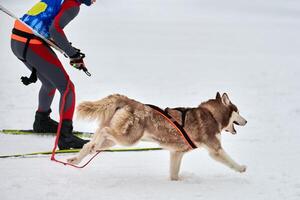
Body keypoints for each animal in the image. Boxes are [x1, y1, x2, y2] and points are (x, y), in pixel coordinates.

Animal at [68, 93, 248, 180]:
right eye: (238, 111)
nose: (246, 121)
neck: (212, 114)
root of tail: (128, 100)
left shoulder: (176, 153)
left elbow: (174, 173)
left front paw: (177, 181)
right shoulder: (214, 149)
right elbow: (229, 160)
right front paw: (241, 168)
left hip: (114, 140)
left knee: (89, 143)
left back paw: (77, 158)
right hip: (130, 139)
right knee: (104, 131)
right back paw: (90, 148)